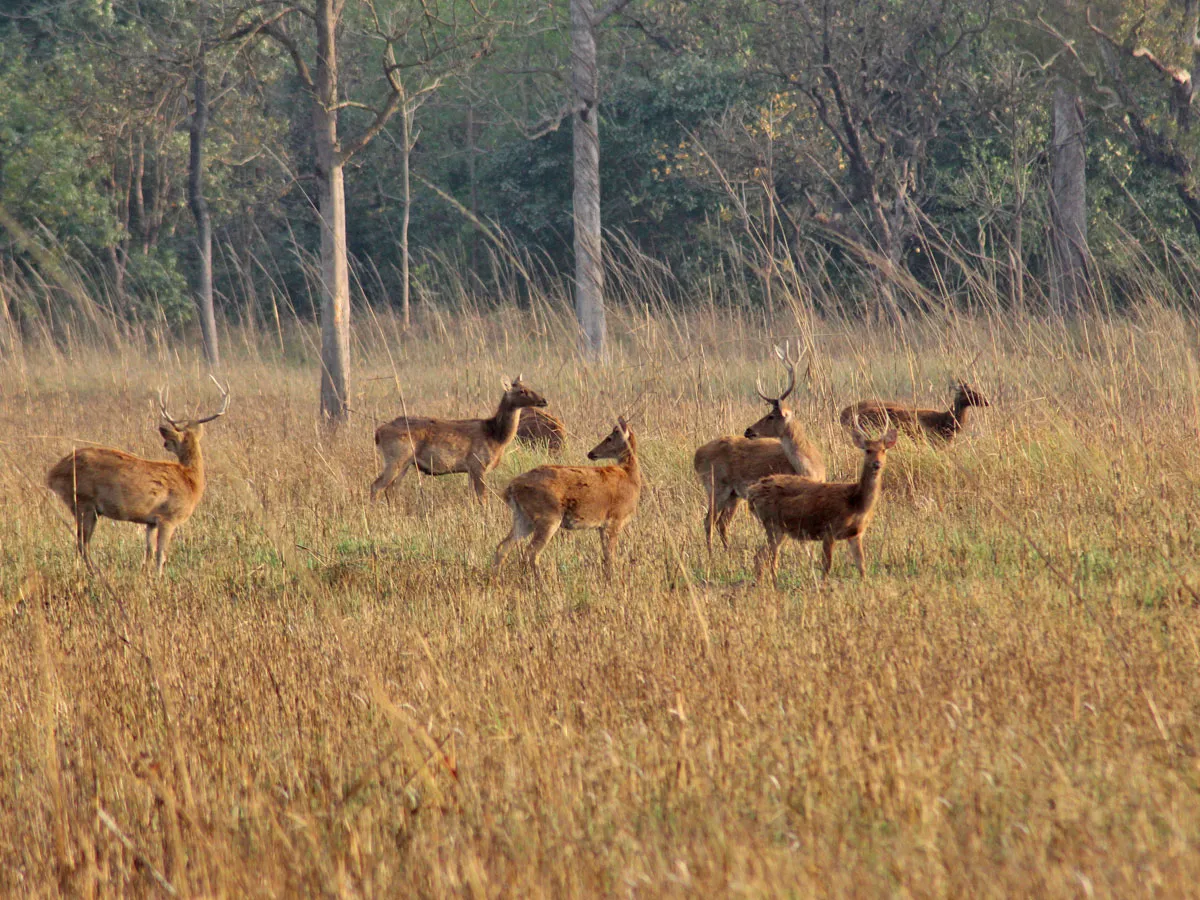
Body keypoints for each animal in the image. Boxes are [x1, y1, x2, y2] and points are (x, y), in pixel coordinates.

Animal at [46, 377, 230, 575]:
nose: (165, 443)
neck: (190, 479)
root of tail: (52, 474)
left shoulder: (151, 522)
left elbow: (148, 552)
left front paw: (146, 575)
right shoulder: (168, 517)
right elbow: (161, 554)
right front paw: (158, 577)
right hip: (83, 502)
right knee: (82, 544)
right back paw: (97, 573)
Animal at [370, 376, 547, 503]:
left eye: (529, 387)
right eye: (522, 391)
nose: (543, 400)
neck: (496, 436)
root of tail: (378, 433)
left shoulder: (470, 469)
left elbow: (472, 498)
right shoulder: (478, 464)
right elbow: (483, 498)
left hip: (405, 462)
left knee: (391, 488)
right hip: (395, 458)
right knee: (376, 486)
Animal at [493, 417, 640, 580]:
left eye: (609, 438)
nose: (591, 453)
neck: (630, 477)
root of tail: (512, 486)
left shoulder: (602, 526)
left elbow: (606, 556)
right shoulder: (614, 521)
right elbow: (610, 557)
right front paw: (612, 580)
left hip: (523, 518)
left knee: (503, 546)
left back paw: (495, 579)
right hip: (548, 517)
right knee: (531, 552)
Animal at [693, 342, 825, 553]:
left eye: (771, 416)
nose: (748, 430)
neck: (811, 468)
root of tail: (697, 455)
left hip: (734, 494)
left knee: (722, 523)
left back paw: (726, 551)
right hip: (716, 485)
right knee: (708, 521)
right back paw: (711, 554)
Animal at [746, 426, 898, 585]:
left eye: (883, 450)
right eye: (867, 450)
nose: (877, 464)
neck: (856, 502)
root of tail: (752, 491)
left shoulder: (856, 534)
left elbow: (861, 565)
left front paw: (864, 584)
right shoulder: (829, 530)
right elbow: (827, 566)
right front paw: (822, 586)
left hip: (781, 529)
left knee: (762, 556)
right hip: (772, 523)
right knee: (768, 558)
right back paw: (773, 584)